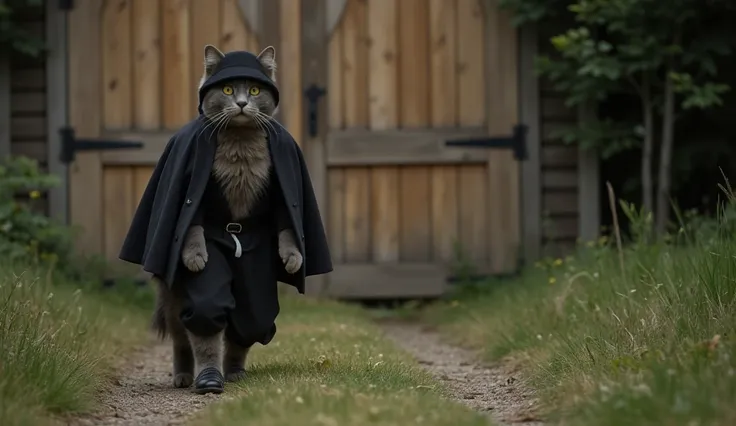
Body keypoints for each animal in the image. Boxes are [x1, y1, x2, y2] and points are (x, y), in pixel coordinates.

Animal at [152, 45, 302, 390]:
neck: (240, 140)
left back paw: (234, 372)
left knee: (248, 323)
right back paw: (190, 377)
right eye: (229, 90)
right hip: (175, 295)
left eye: (256, 90)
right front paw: (196, 258)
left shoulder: (277, 195)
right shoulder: (196, 199)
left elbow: (286, 224)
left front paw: (292, 258)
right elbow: (193, 227)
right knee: (185, 334)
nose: (243, 102)